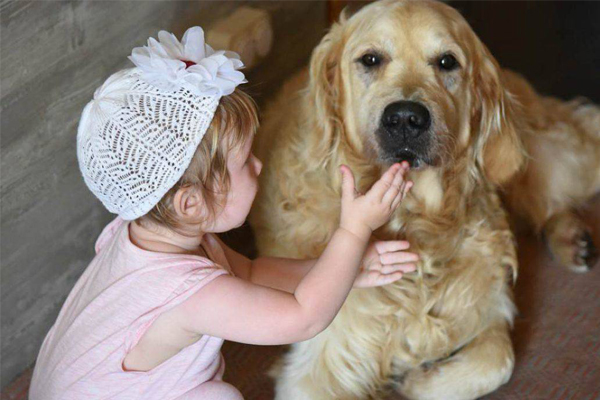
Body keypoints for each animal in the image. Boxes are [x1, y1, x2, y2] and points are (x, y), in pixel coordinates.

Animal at [250, 1, 600, 398]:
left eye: (447, 62)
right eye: (370, 59)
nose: (405, 118)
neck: (415, 222)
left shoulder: (489, 309)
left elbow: (499, 358)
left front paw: (415, 380)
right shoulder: (318, 366)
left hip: (530, 157)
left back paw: (572, 238)